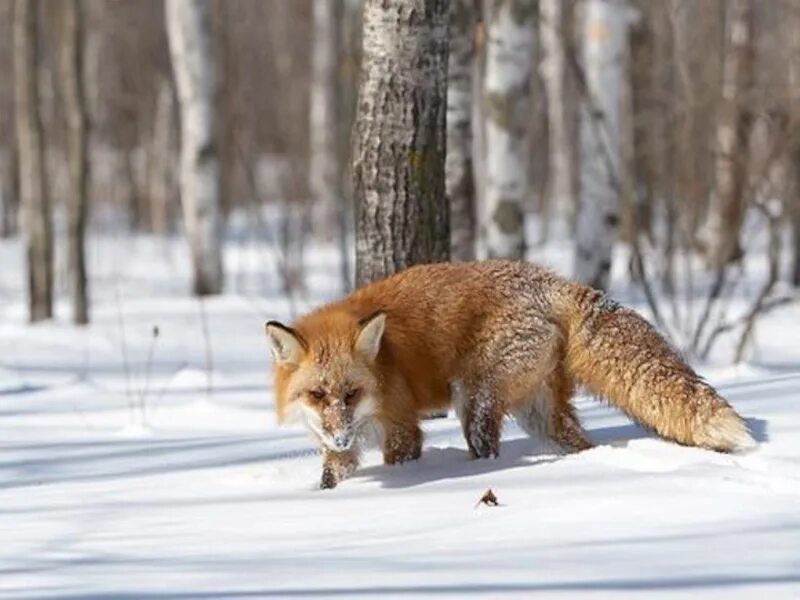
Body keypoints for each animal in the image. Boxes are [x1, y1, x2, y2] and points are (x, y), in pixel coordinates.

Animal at [264, 260, 756, 490]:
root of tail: (548, 279)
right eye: (317, 395)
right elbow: (332, 474)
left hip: (476, 403)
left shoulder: (403, 427)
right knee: (579, 444)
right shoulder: (339, 447)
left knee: (487, 448)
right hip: (542, 415)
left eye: (351, 393)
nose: (340, 435)